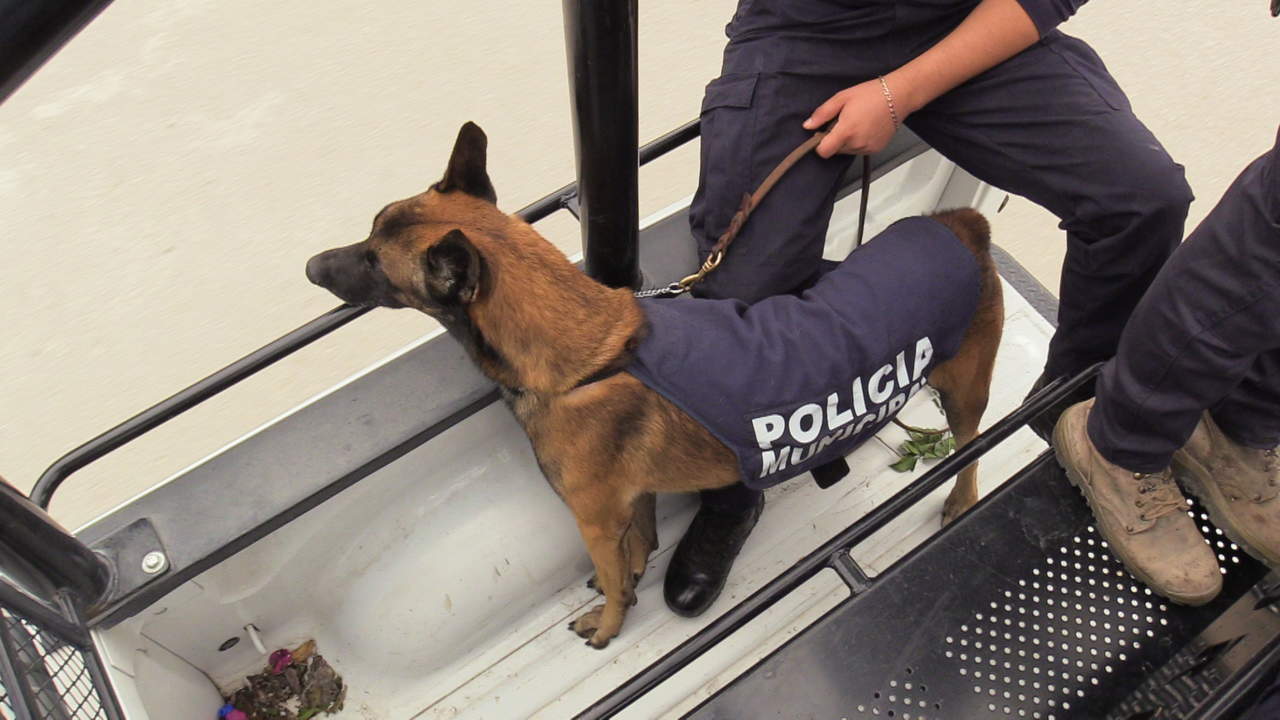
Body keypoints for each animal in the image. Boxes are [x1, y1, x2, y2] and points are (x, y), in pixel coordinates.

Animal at [306, 122, 1004, 649]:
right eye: (371, 229)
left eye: (373, 261)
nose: (311, 267)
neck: (586, 354)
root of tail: (961, 227)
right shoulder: (630, 497)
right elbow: (637, 543)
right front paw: (634, 572)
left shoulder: (592, 518)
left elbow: (614, 578)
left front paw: (608, 626)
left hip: (964, 393)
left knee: (973, 446)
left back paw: (961, 497)